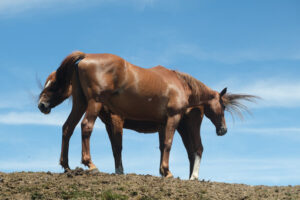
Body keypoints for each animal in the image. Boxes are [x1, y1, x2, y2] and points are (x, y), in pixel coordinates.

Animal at [38, 50, 256, 179]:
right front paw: (167, 172)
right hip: (93, 103)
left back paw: (66, 166)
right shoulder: (171, 118)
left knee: (68, 128)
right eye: (223, 106)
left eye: (53, 83)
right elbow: (165, 144)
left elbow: (158, 147)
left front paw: (162, 172)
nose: (223, 130)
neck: (181, 84)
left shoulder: (161, 123)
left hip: (81, 103)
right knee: (85, 127)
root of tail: (85, 56)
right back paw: (90, 164)